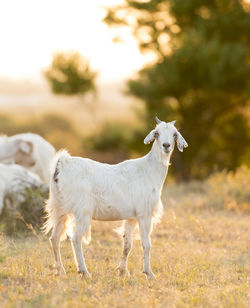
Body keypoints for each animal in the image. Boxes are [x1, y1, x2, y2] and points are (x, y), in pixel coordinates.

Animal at [44, 117, 188, 280]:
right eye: (157, 133)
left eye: (174, 134)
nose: (166, 145)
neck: (149, 170)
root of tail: (62, 164)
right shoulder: (144, 214)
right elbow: (146, 244)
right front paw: (149, 273)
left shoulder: (131, 217)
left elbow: (127, 245)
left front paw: (122, 271)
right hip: (83, 211)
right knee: (75, 239)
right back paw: (84, 271)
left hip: (60, 209)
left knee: (54, 238)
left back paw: (60, 271)